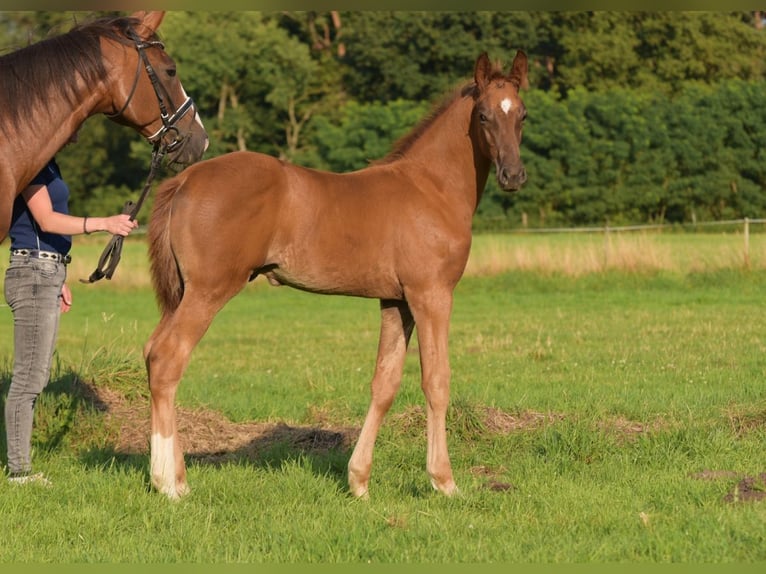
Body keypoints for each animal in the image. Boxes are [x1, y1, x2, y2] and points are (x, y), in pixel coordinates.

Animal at [146, 50, 528, 500]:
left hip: (184, 293)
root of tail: (184, 178)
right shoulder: (431, 295)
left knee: (152, 353)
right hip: (208, 291)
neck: (430, 187)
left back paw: (170, 475)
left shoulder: (396, 301)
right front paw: (444, 481)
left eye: (522, 114)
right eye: (483, 115)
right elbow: (437, 381)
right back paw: (170, 484)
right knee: (168, 359)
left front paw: (359, 482)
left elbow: (384, 383)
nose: (513, 175)